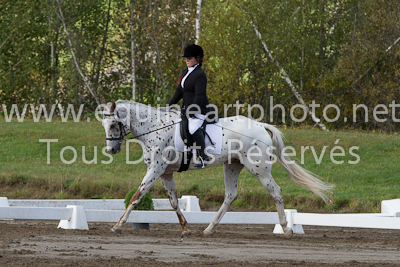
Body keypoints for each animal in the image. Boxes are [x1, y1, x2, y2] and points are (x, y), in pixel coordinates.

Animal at [101, 100, 332, 239]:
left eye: (113, 124)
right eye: (104, 125)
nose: (111, 150)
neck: (154, 128)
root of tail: (261, 125)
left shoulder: (156, 170)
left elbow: (136, 196)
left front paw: (118, 225)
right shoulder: (165, 173)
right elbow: (174, 201)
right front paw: (185, 229)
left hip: (259, 169)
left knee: (275, 192)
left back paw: (286, 229)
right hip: (232, 165)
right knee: (230, 194)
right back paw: (209, 228)